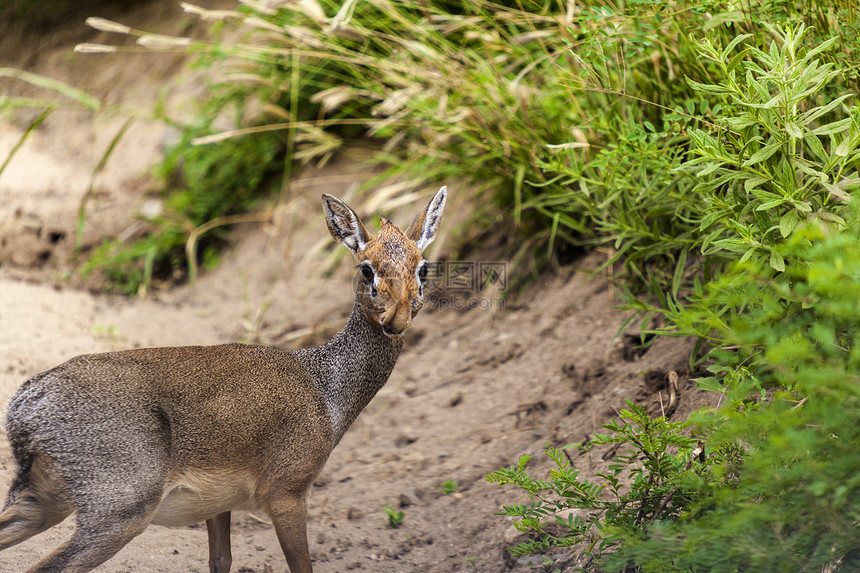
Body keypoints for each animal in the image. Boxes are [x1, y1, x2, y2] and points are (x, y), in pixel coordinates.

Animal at [0, 185, 446, 568]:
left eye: (422, 269)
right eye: (367, 269)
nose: (396, 320)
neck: (327, 388)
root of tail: (26, 404)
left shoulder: (219, 505)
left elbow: (221, 561)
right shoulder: (286, 493)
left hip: (43, 502)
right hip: (118, 510)